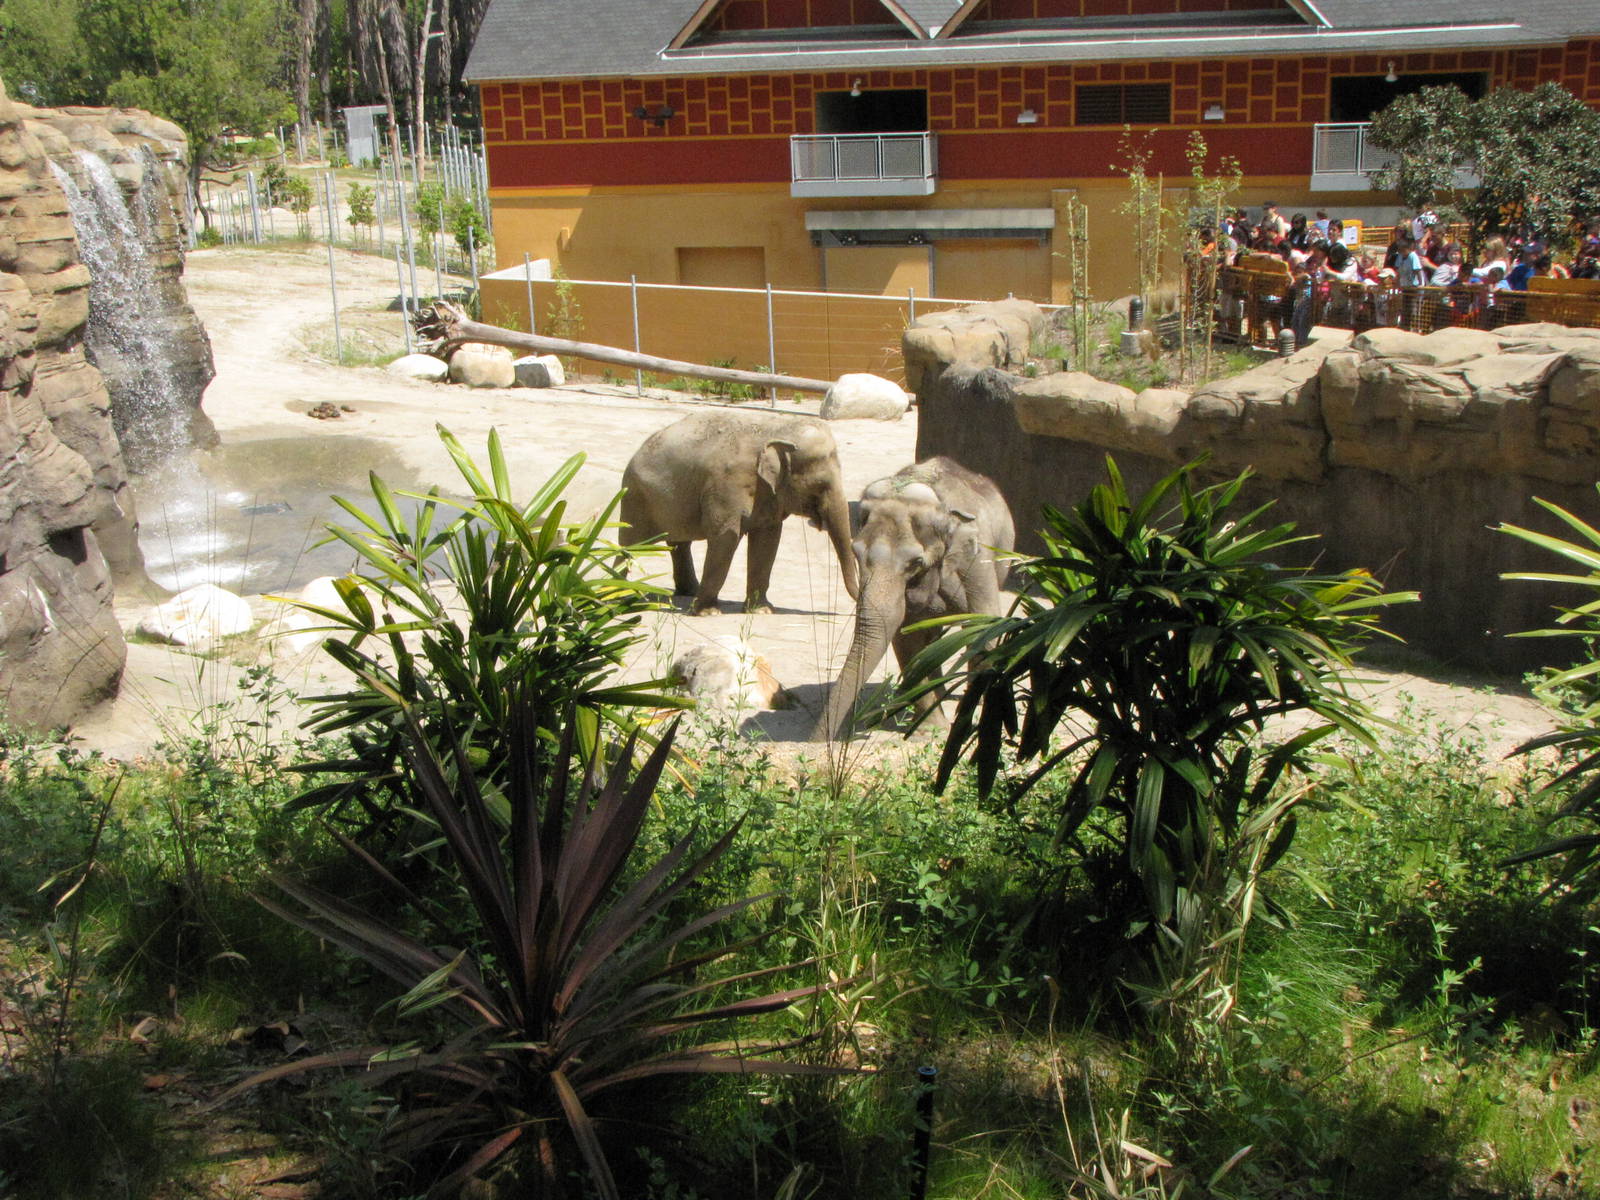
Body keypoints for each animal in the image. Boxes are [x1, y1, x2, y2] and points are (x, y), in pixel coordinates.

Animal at [620, 411, 860, 615]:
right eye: (820, 485)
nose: (853, 607)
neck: (777, 428)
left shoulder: (768, 494)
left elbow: (767, 540)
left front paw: (760, 610)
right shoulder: (727, 485)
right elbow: (725, 537)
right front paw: (707, 613)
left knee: (679, 543)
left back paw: (688, 592)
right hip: (634, 496)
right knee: (629, 545)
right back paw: (619, 591)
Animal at [811, 457, 1014, 742]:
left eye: (915, 562)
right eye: (856, 552)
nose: (817, 741)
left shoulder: (976, 563)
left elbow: (983, 627)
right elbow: (907, 640)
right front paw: (930, 731)